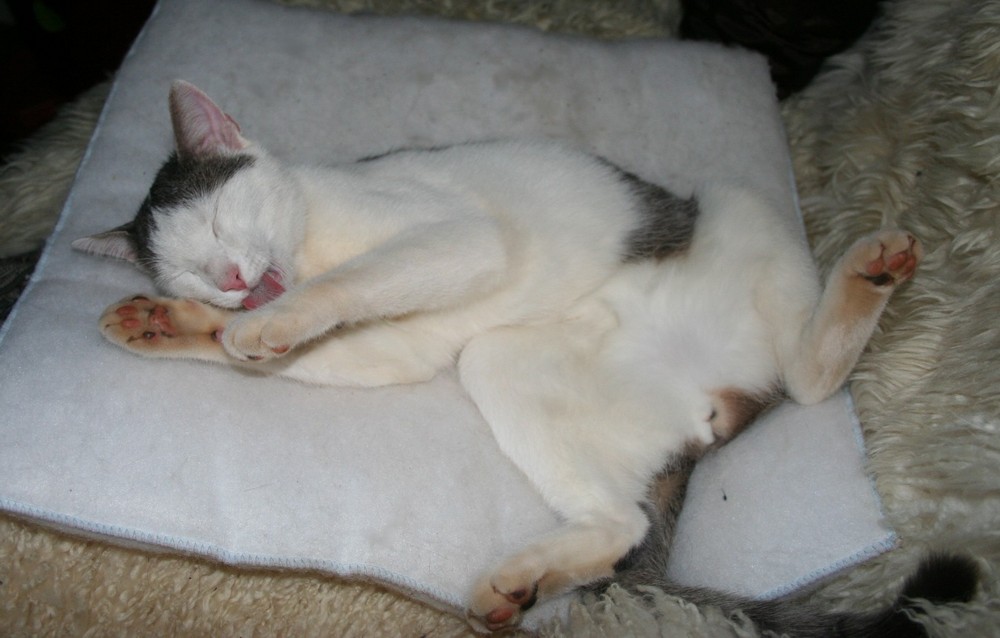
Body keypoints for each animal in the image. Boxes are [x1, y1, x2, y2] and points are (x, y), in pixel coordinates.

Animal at [72, 81, 976, 636]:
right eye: (189, 266)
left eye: (219, 220)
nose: (227, 281)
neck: (312, 243)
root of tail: (714, 399)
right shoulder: (394, 345)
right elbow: (321, 342)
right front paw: (168, 321)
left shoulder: (455, 239)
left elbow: (346, 286)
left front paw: (267, 322)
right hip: (503, 366)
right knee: (623, 523)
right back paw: (520, 584)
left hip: (740, 205)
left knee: (810, 380)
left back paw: (867, 270)